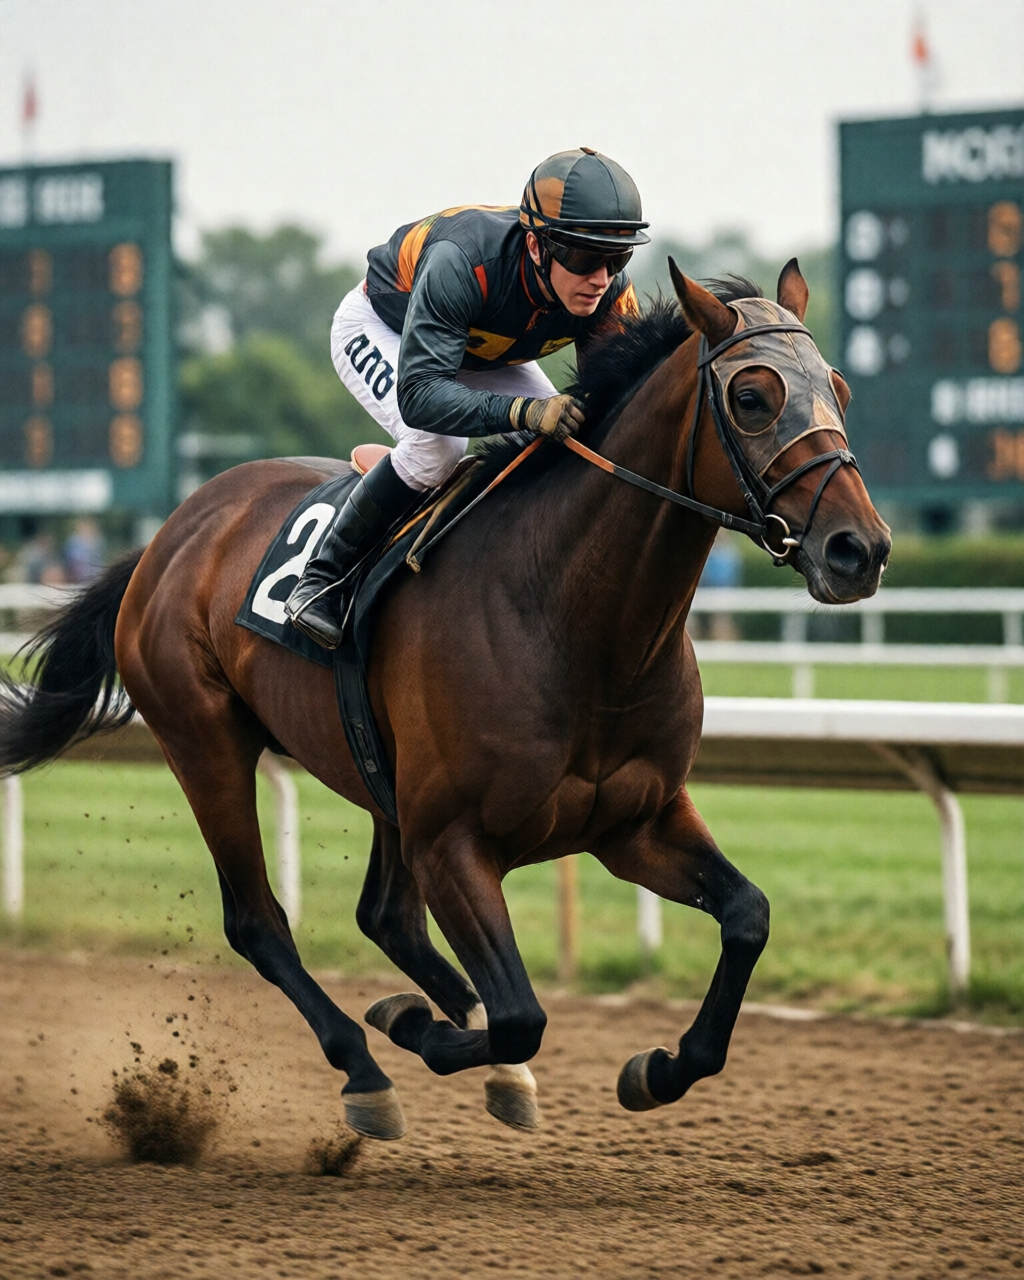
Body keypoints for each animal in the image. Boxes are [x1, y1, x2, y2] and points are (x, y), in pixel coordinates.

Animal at [0, 260, 890, 1141]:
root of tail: (166, 536)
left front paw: (657, 1068)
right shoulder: (453, 842)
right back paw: (366, 1069)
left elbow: (747, 917)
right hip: (204, 741)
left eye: (840, 389)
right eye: (752, 397)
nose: (861, 549)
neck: (576, 620)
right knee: (259, 921)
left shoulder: (633, 822)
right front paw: (414, 1026)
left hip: (380, 781)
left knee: (385, 917)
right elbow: (522, 1014)